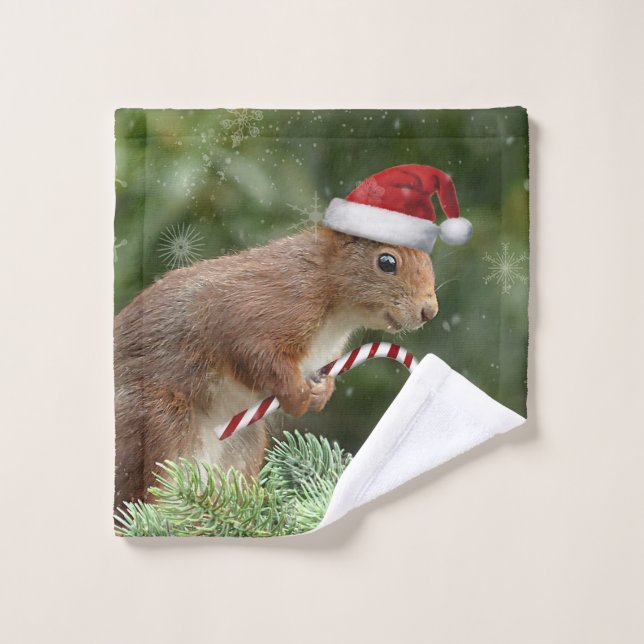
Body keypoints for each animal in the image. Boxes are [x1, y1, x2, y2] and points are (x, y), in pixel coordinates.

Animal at [114, 227, 438, 510]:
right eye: (387, 262)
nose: (430, 312)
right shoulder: (266, 305)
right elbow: (256, 353)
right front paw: (298, 396)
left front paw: (321, 393)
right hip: (164, 423)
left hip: (243, 444)